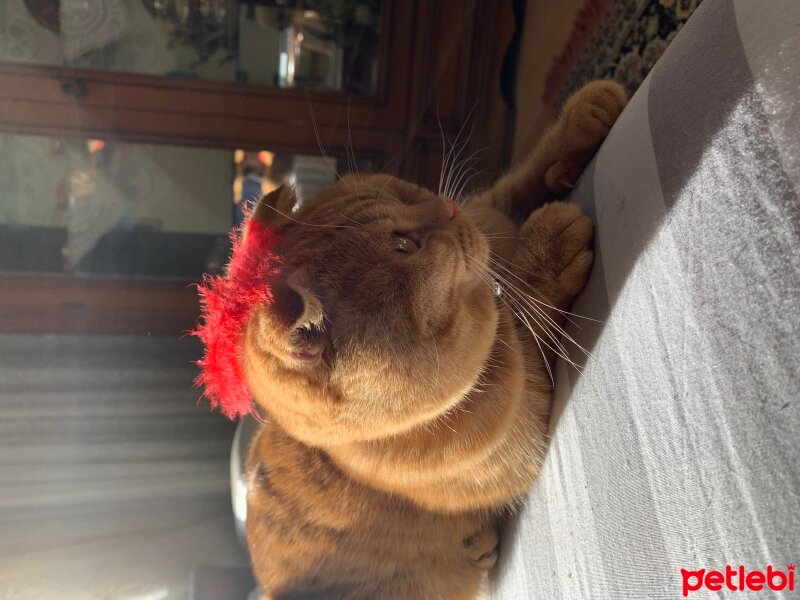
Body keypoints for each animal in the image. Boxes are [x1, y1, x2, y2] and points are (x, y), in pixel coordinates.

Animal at [241, 82, 628, 596]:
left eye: (404, 193)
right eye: (404, 246)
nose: (447, 206)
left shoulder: (487, 213)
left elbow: (516, 181)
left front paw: (585, 114)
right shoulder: (530, 397)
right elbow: (532, 300)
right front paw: (551, 242)